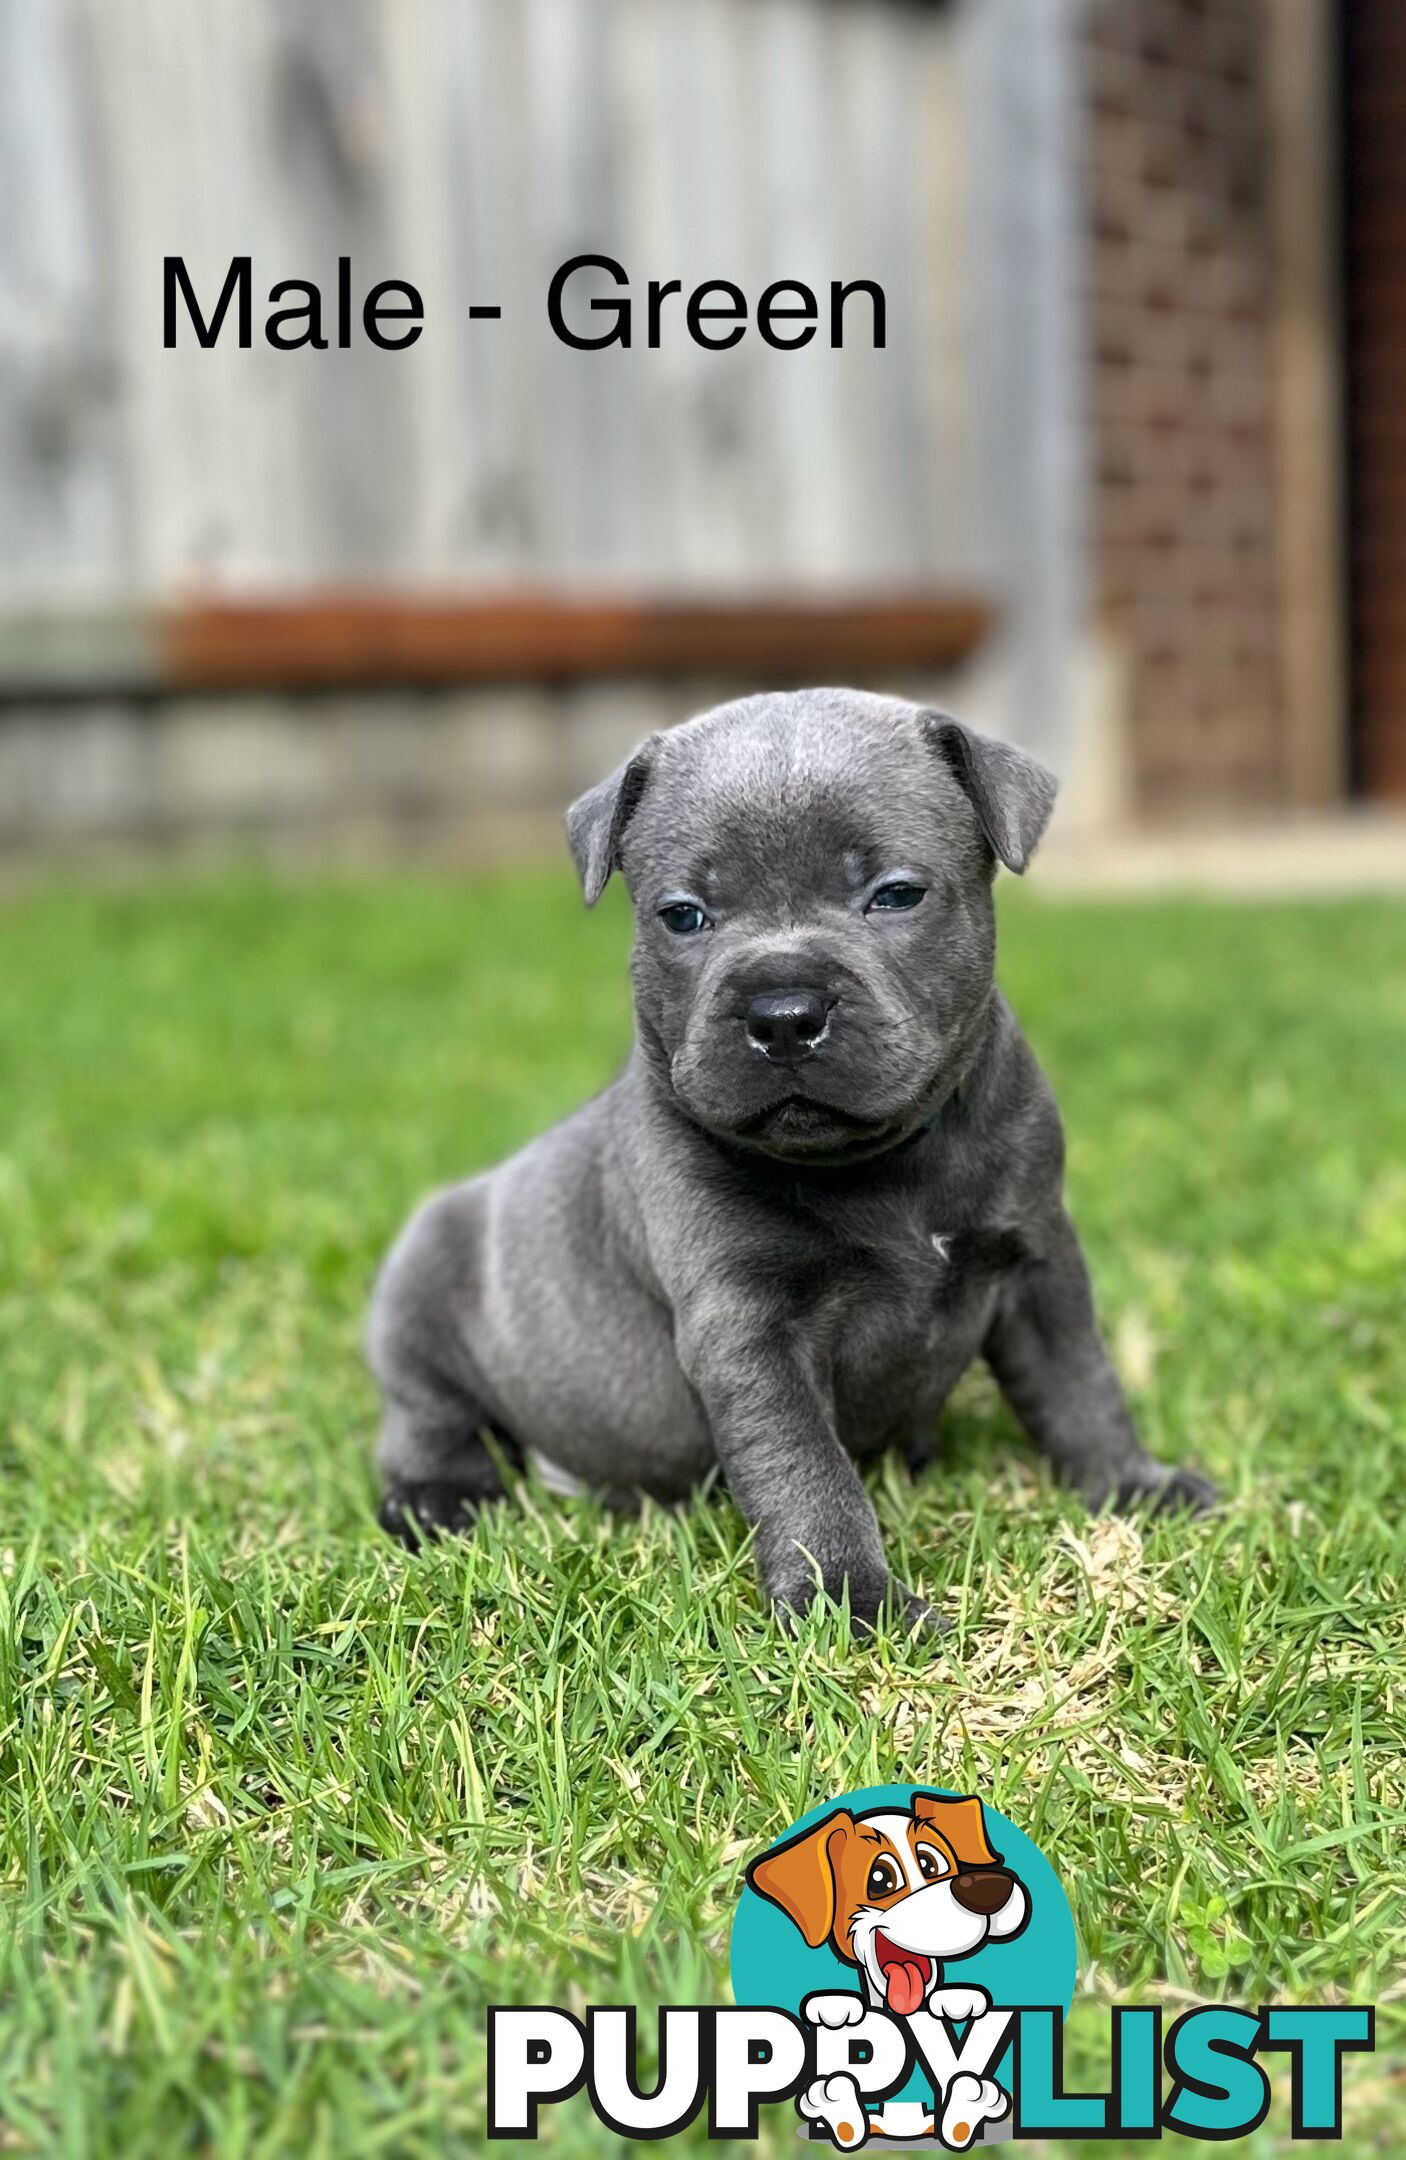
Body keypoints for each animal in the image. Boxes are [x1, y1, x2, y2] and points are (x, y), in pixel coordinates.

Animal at [369, 686, 1218, 1624]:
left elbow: (1080, 1384)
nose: (782, 1014)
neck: (882, 1166)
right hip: (417, 1294)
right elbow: (805, 1468)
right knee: (427, 1419)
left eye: (895, 895)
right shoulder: (750, 1333)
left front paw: (1135, 1486)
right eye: (683, 915)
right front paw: (851, 1602)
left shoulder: (1039, 1262)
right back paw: (435, 1502)